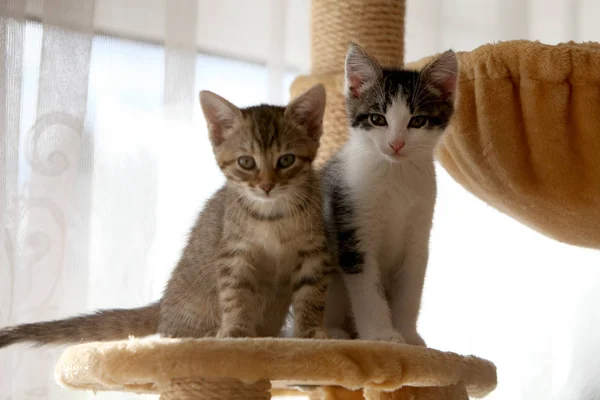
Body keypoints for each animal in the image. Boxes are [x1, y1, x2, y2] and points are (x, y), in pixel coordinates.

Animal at [0, 83, 332, 346]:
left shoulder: (313, 252)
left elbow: (311, 296)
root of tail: (163, 306)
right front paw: (236, 331)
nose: (265, 186)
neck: (273, 216)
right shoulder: (233, 255)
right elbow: (235, 295)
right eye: (246, 162)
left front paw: (310, 334)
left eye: (286, 160)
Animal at [322, 43, 458, 344]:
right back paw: (330, 332)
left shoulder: (419, 234)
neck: (395, 175)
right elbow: (366, 288)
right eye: (377, 119)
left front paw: (408, 336)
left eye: (417, 121)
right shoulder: (353, 225)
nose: (396, 144)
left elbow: (411, 289)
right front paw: (382, 335)